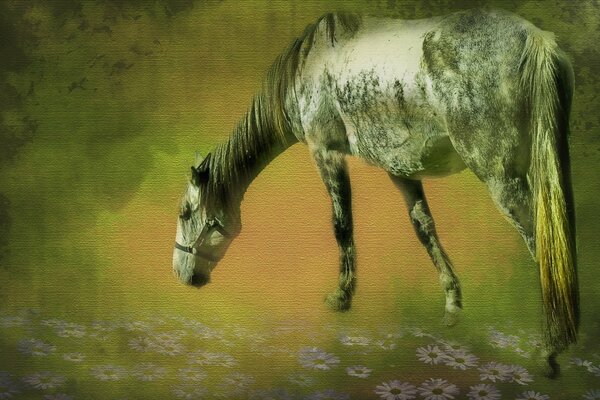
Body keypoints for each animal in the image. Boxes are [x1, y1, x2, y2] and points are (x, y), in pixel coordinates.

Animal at [172, 9, 576, 378]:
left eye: (185, 213)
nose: (182, 275)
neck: (310, 62)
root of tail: (534, 39)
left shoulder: (326, 152)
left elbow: (342, 225)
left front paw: (341, 296)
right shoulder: (401, 169)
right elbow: (424, 229)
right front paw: (451, 305)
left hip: (501, 178)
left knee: (541, 243)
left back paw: (548, 351)